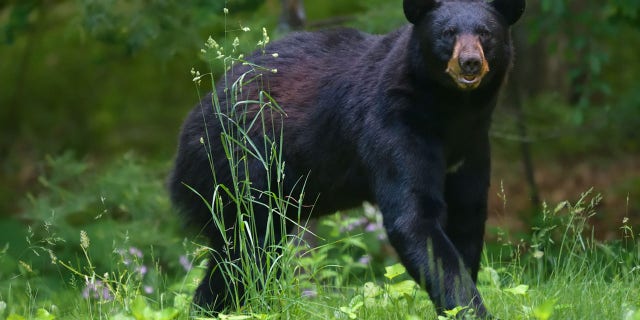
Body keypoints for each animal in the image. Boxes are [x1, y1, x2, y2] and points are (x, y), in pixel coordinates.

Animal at [169, 0, 524, 318]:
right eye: (447, 33)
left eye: (486, 33)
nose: (469, 62)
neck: (451, 110)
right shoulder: (394, 125)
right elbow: (414, 218)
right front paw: (471, 309)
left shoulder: (472, 144)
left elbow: (467, 215)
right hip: (239, 168)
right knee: (245, 252)